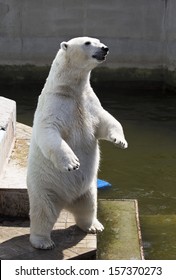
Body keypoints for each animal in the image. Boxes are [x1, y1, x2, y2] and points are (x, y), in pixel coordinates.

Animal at [26, 37, 127, 249]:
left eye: (99, 40)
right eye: (88, 42)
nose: (105, 48)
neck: (70, 90)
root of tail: (66, 202)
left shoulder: (89, 103)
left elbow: (106, 120)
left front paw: (120, 140)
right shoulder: (55, 104)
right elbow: (49, 131)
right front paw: (72, 163)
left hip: (89, 189)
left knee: (88, 206)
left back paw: (94, 226)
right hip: (45, 187)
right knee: (43, 212)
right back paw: (43, 242)